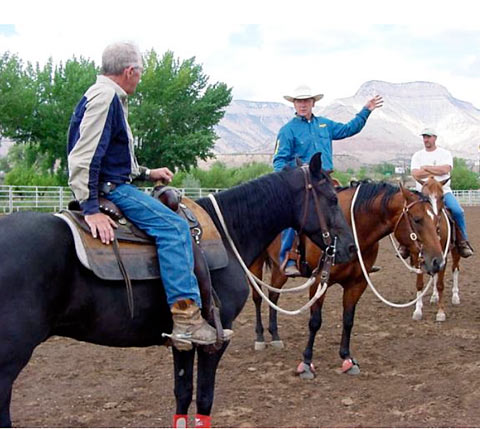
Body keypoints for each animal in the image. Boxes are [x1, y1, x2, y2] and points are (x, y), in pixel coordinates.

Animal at [0, 154, 356, 428]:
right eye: (331, 198)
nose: (350, 249)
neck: (227, 232)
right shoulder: (216, 339)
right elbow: (205, 398)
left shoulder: (181, 340)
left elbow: (183, 394)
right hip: (9, 360)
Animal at [249, 181, 444, 378]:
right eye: (417, 219)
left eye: (436, 220)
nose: (438, 262)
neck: (353, 228)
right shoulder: (320, 280)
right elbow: (315, 321)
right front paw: (306, 363)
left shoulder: (357, 283)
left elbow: (348, 320)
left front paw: (347, 359)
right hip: (255, 263)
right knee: (258, 297)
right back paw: (259, 337)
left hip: (279, 270)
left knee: (273, 295)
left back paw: (275, 336)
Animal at [408, 175, 462, 320]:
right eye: (424, 197)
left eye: (442, 196)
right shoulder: (418, 256)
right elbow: (419, 283)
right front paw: (417, 310)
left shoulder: (443, 255)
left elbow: (440, 284)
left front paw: (441, 312)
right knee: (435, 273)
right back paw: (434, 296)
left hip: (455, 252)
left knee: (455, 269)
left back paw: (455, 296)